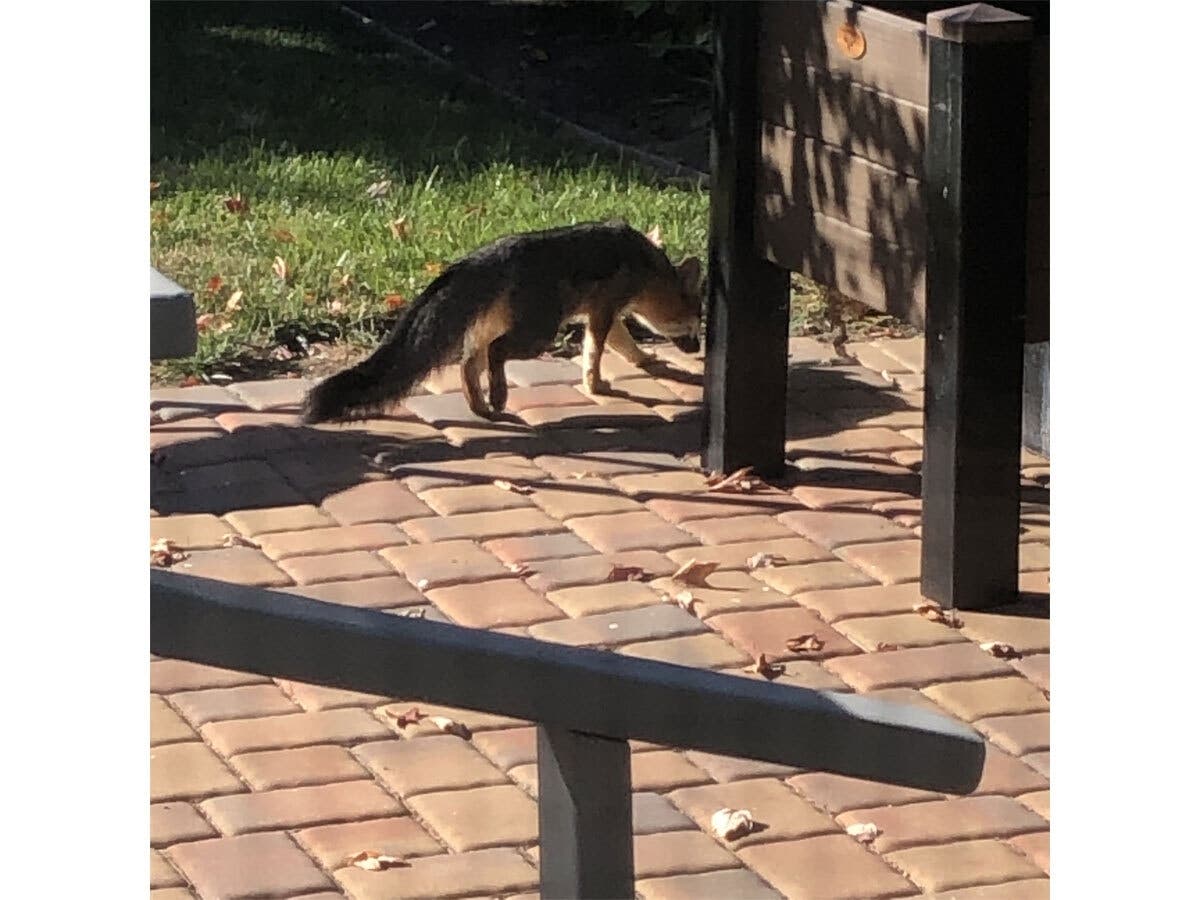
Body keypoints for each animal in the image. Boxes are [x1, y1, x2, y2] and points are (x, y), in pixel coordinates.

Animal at [300, 220, 703, 424]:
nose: (699, 348)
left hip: (498, 328)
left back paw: (480, 405)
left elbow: (621, 345)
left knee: (467, 363)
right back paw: (497, 396)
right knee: (494, 353)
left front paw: (644, 359)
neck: (648, 263)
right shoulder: (603, 311)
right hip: (539, 333)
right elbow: (595, 353)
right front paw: (596, 384)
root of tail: (491, 252)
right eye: (697, 324)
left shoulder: (604, 313)